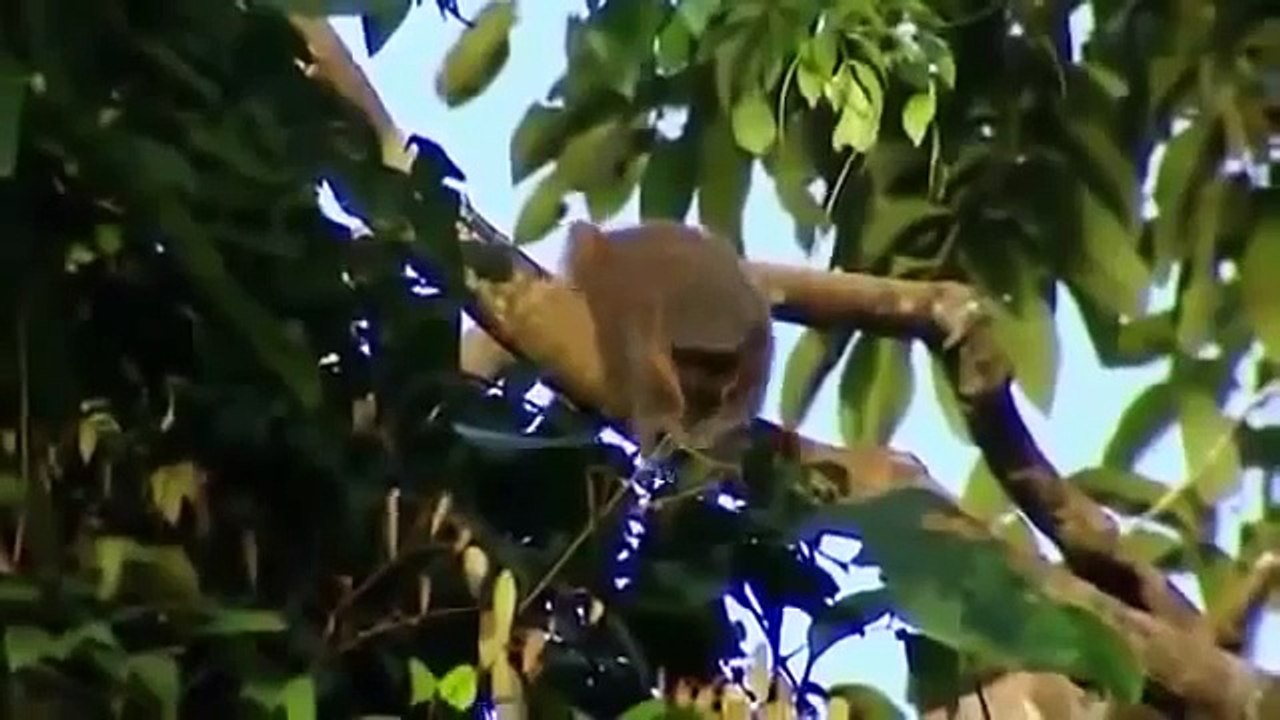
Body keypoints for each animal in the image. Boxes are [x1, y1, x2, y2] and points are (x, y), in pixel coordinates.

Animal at [561, 220, 774, 458]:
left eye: (722, 368)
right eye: (689, 362)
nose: (705, 393)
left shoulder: (758, 335)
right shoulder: (643, 315)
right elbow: (640, 364)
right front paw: (660, 416)